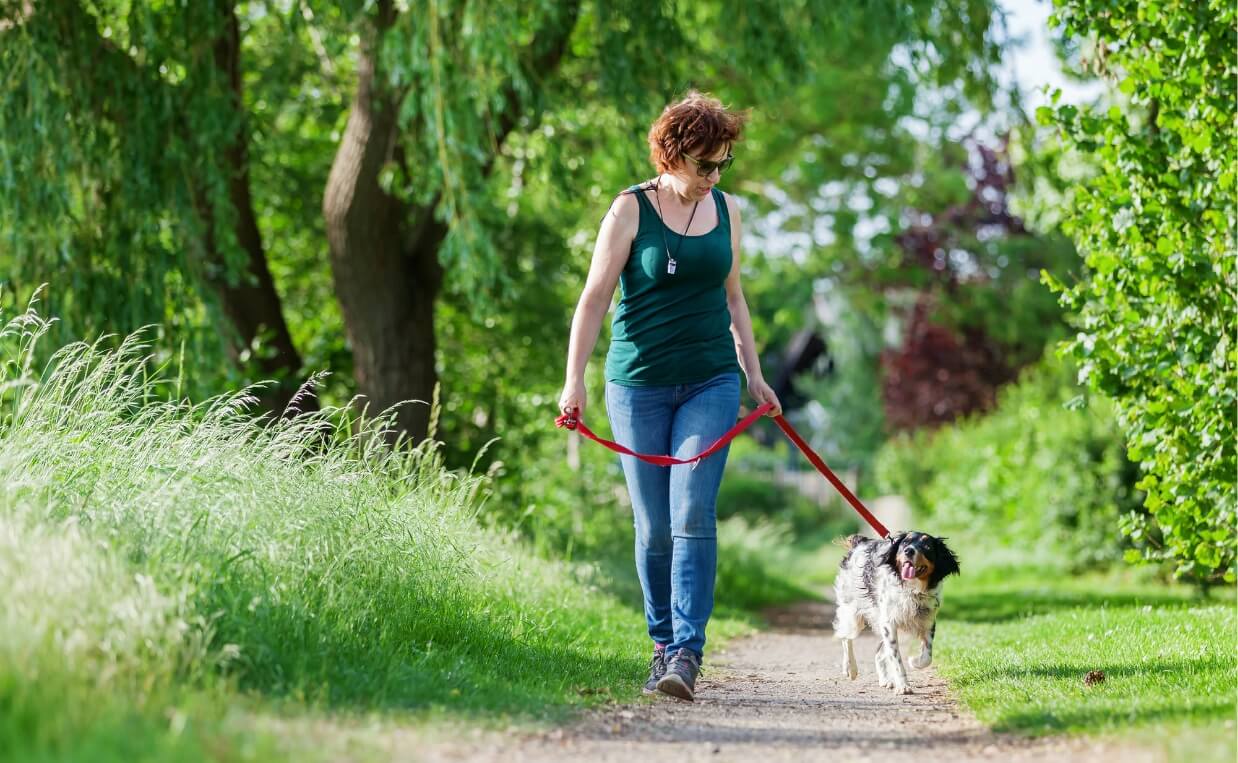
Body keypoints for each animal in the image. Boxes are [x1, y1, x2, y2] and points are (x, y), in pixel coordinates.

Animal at [836, 532, 960, 693]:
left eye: (927, 546)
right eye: (905, 542)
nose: (909, 551)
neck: (912, 590)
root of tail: (860, 543)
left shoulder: (928, 622)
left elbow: (927, 656)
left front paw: (914, 661)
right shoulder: (889, 623)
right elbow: (896, 658)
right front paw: (903, 685)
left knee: (878, 653)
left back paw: (885, 680)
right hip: (853, 613)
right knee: (846, 638)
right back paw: (850, 668)